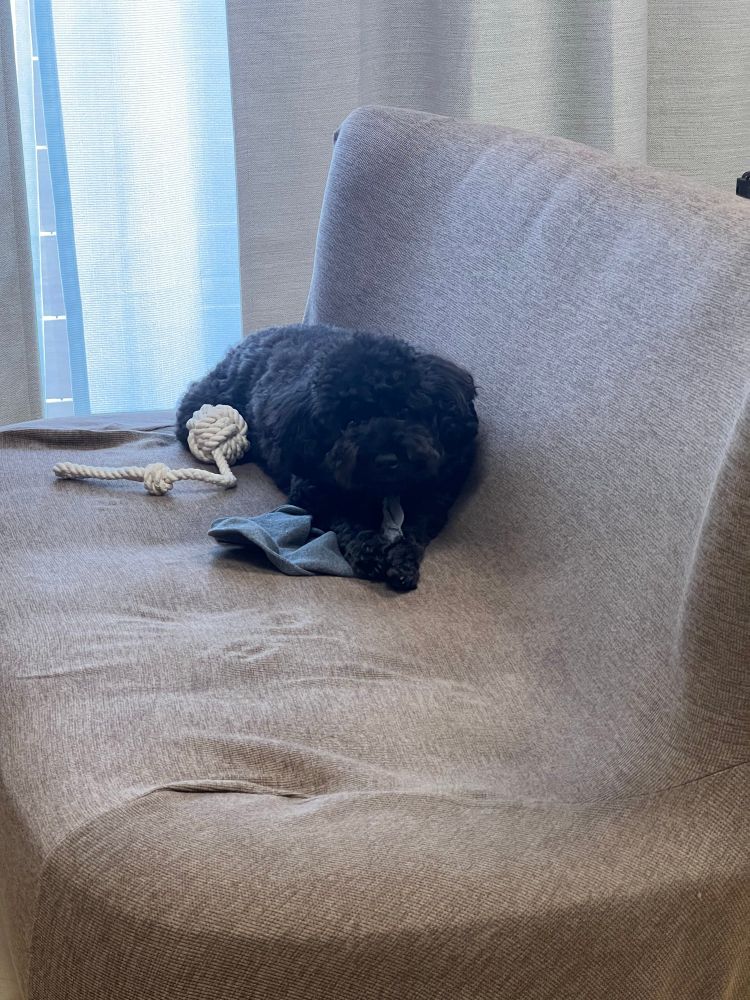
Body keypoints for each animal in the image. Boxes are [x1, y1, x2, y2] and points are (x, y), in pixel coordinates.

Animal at [176, 324, 478, 591]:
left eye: (404, 411)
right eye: (350, 421)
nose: (386, 460)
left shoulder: (434, 497)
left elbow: (414, 532)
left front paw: (402, 563)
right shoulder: (313, 493)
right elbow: (347, 521)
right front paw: (369, 553)